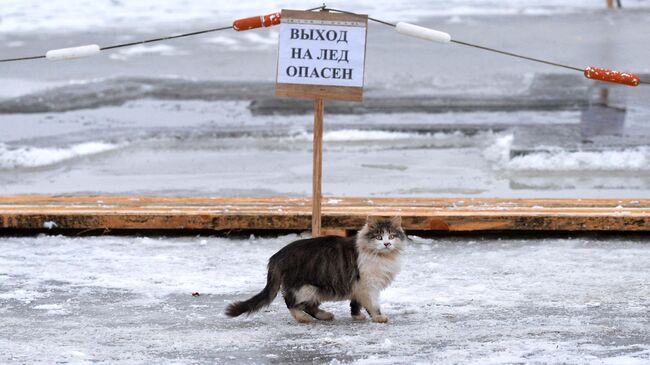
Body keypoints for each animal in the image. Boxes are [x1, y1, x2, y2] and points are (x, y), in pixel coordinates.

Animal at [224, 216, 404, 322]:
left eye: (392, 236)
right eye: (379, 237)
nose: (386, 243)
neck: (382, 257)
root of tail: (277, 255)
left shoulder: (358, 286)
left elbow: (356, 303)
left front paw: (357, 316)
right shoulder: (368, 285)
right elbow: (373, 304)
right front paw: (379, 317)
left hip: (314, 289)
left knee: (309, 306)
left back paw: (324, 315)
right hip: (305, 287)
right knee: (291, 303)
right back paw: (303, 318)